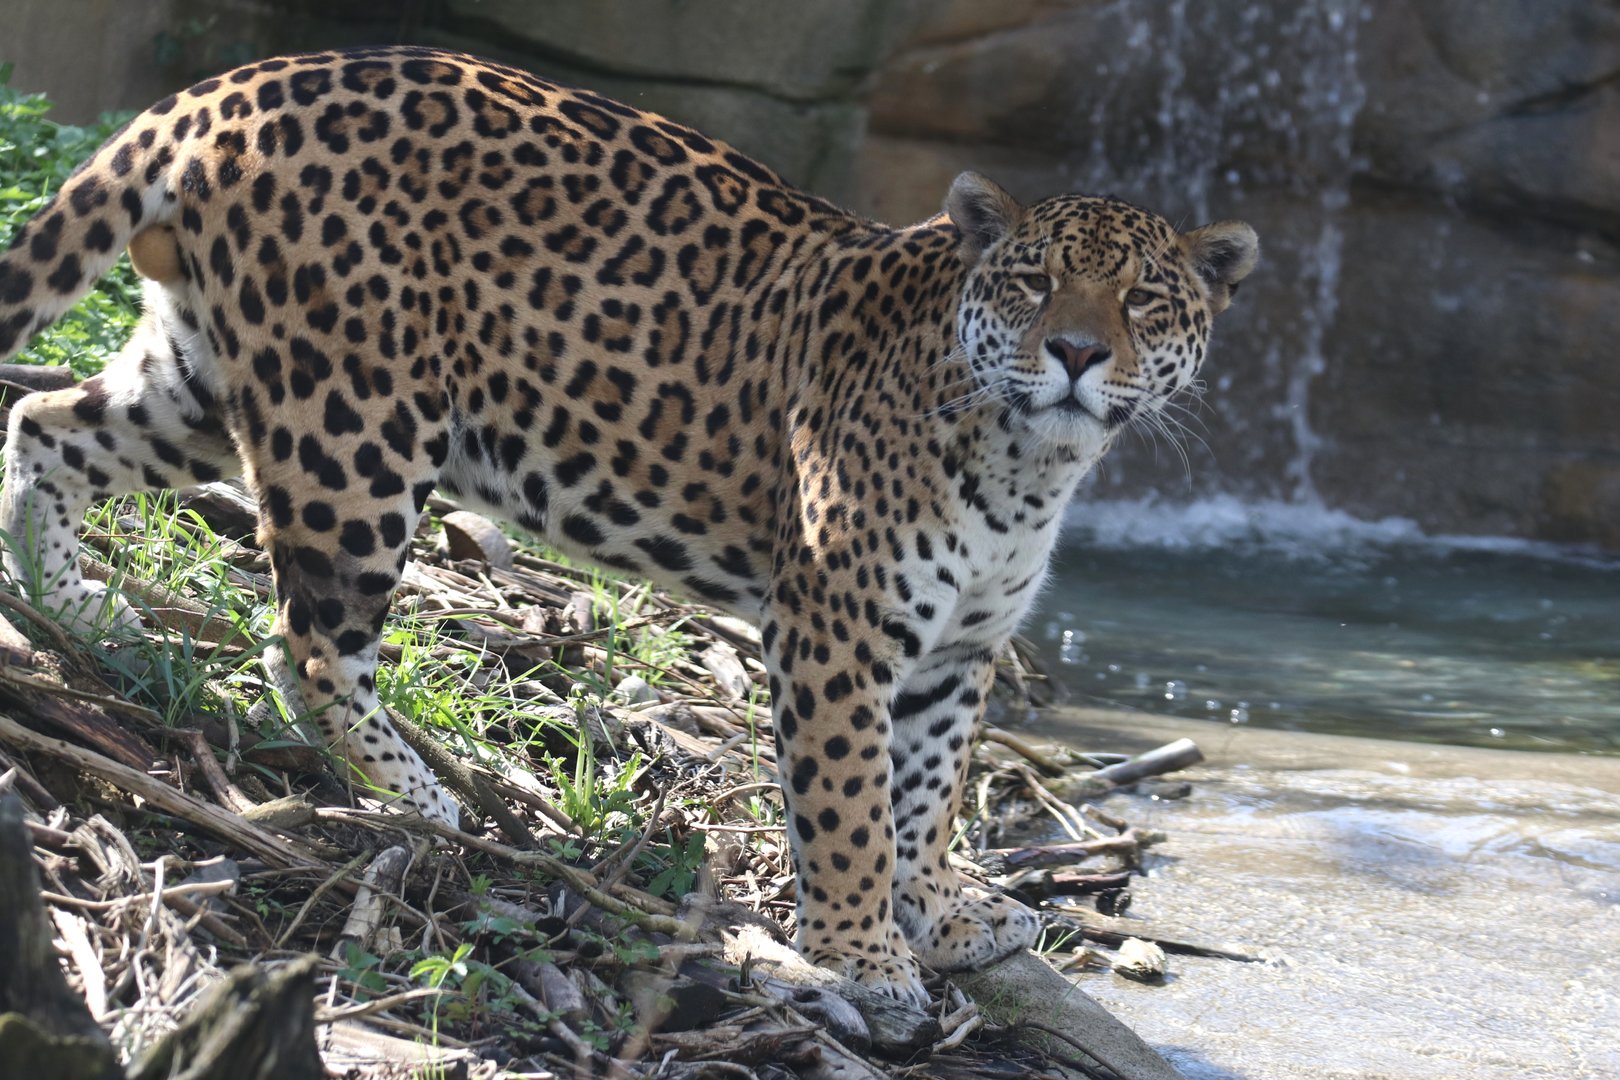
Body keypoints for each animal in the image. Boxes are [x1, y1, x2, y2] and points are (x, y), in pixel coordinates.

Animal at [0, 46, 1257, 1005]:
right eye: (1034, 283)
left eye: (1146, 299)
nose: (1078, 353)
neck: (1030, 460)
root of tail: (236, 83)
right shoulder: (837, 632)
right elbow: (852, 803)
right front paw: (863, 959)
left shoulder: (959, 650)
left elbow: (930, 792)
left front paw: (939, 912)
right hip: (351, 423)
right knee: (303, 640)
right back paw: (423, 802)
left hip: (204, 382)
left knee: (44, 421)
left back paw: (72, 612)